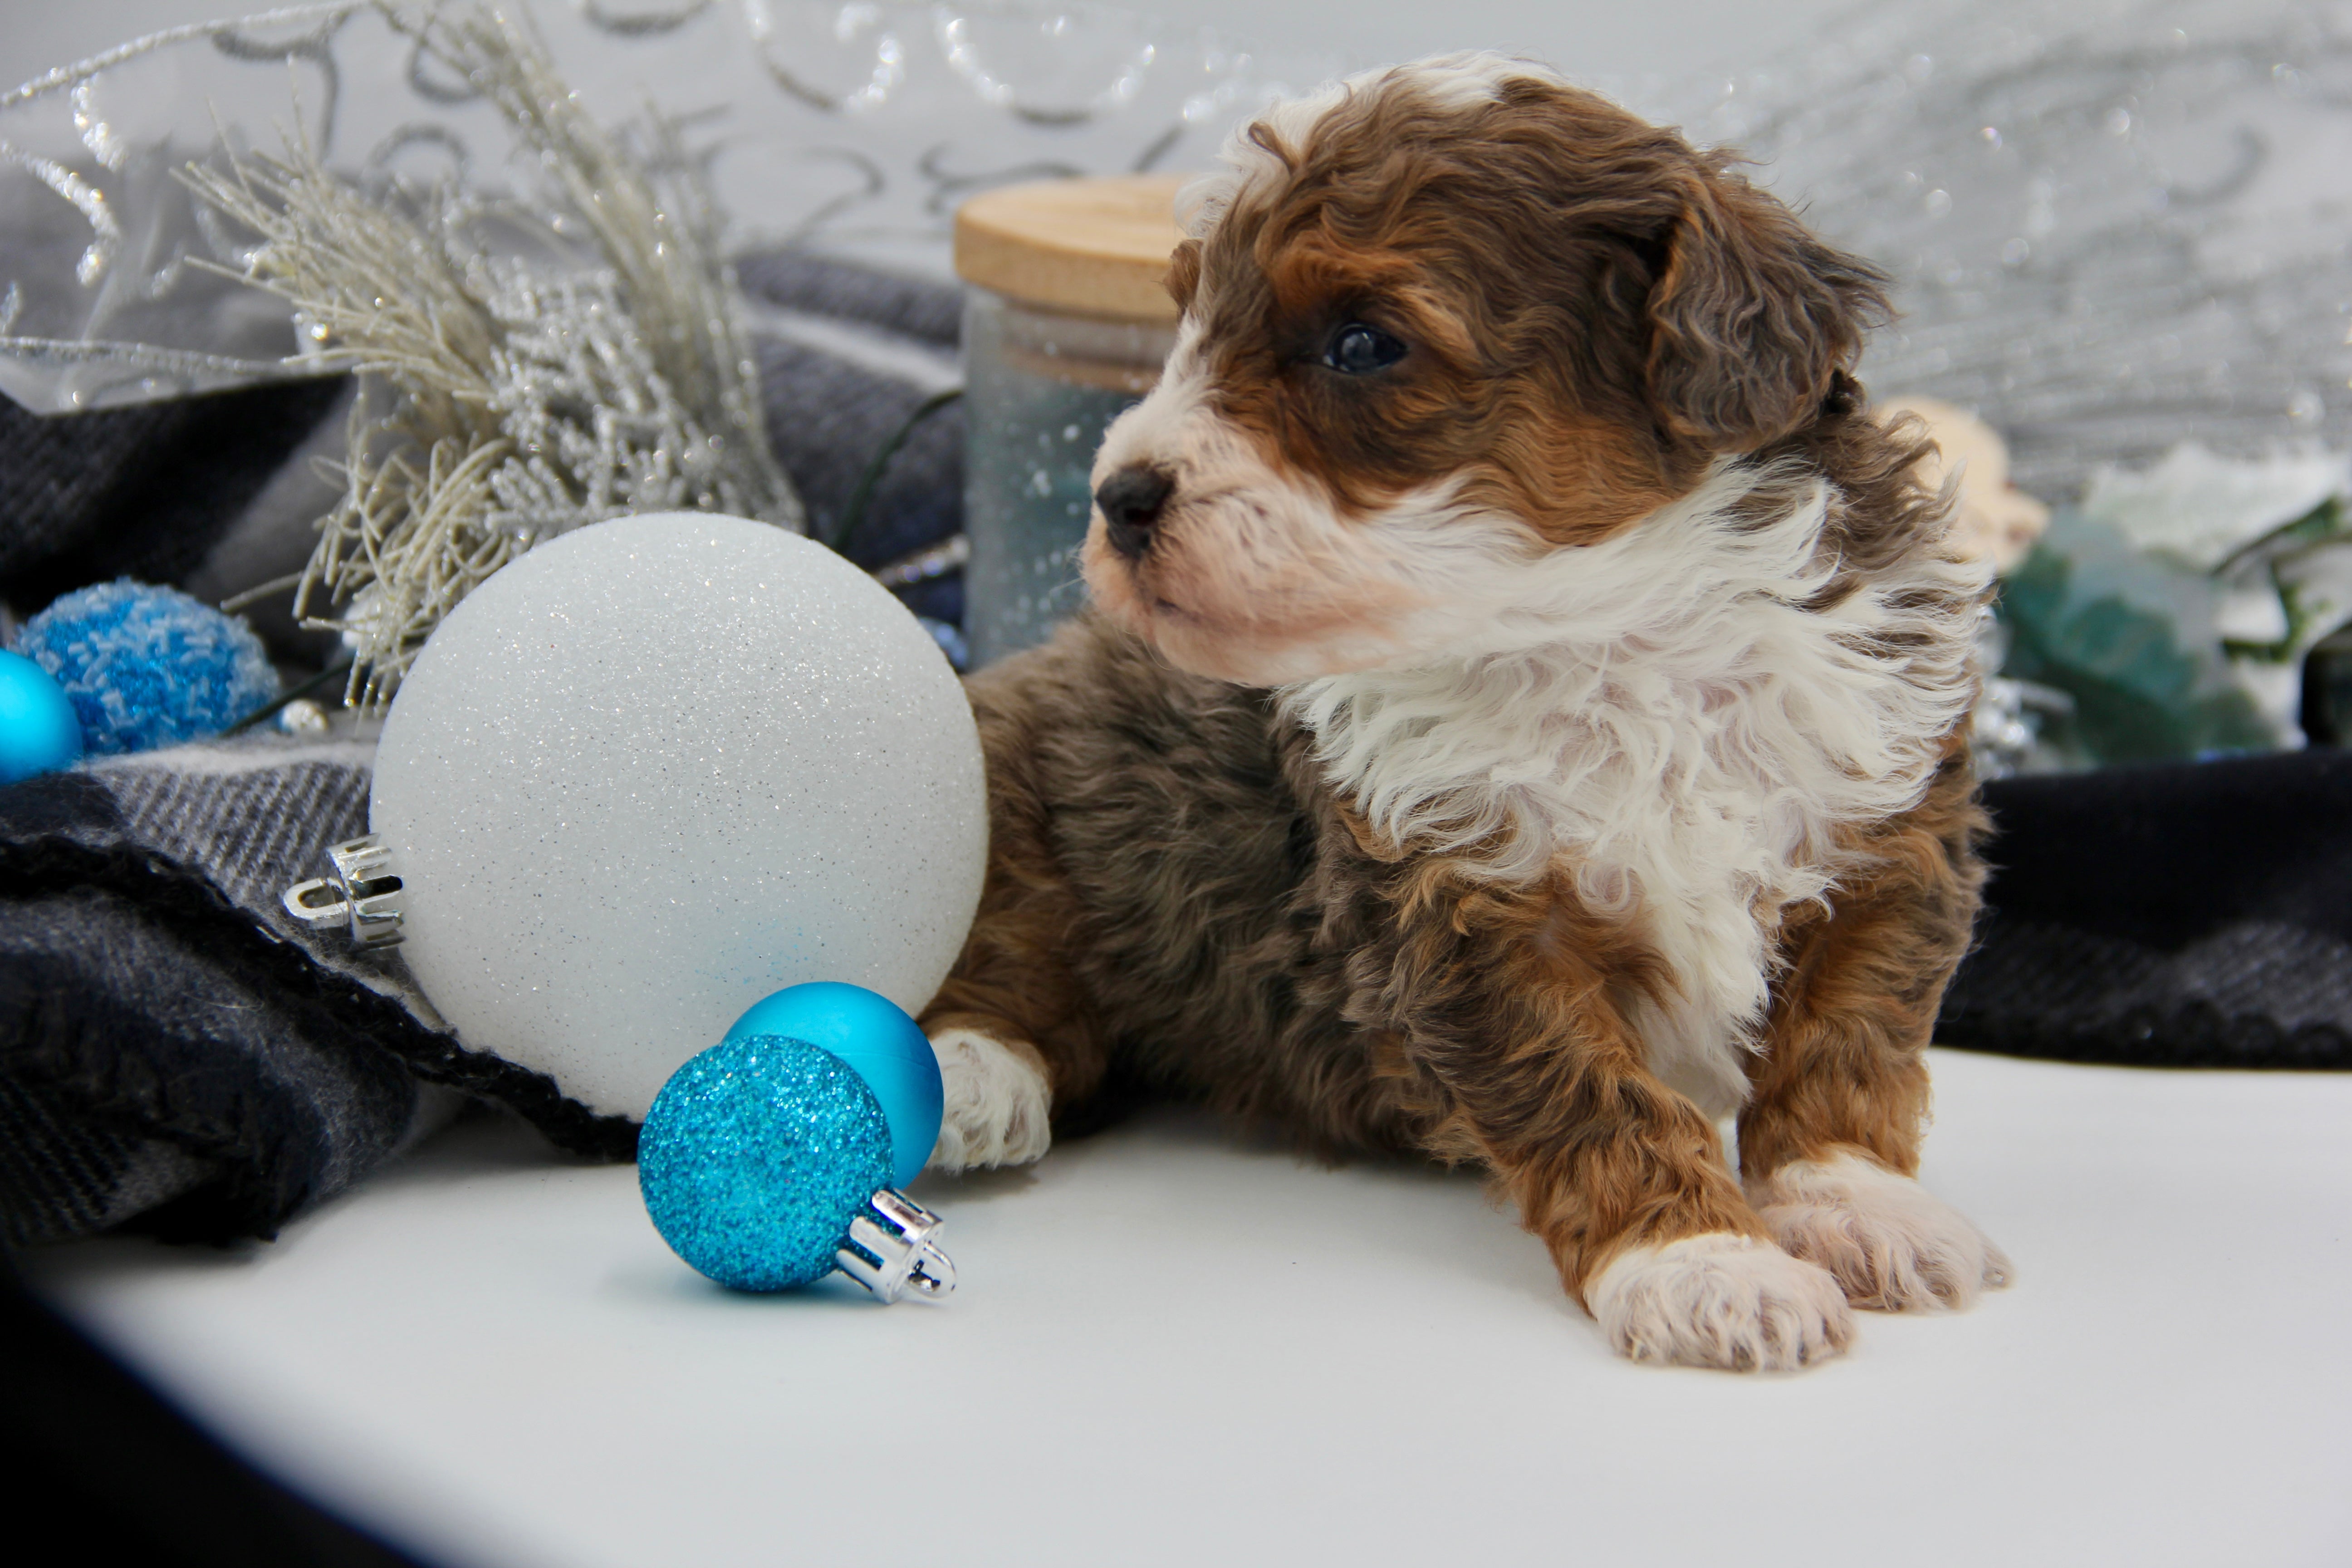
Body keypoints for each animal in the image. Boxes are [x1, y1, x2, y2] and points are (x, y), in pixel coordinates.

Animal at [917, 52, 2004, 1372]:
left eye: (1361, 342)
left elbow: (1846, 1039)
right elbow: (1597, 1098)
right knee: (1007, 941)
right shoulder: (1464, 914)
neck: (1610, 641)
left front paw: (1853, 1200)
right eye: (1185, 321)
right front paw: (1701, 1259)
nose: (1118, 495)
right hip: (1036, 774)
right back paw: (969, 1070)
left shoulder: (1887, 831)